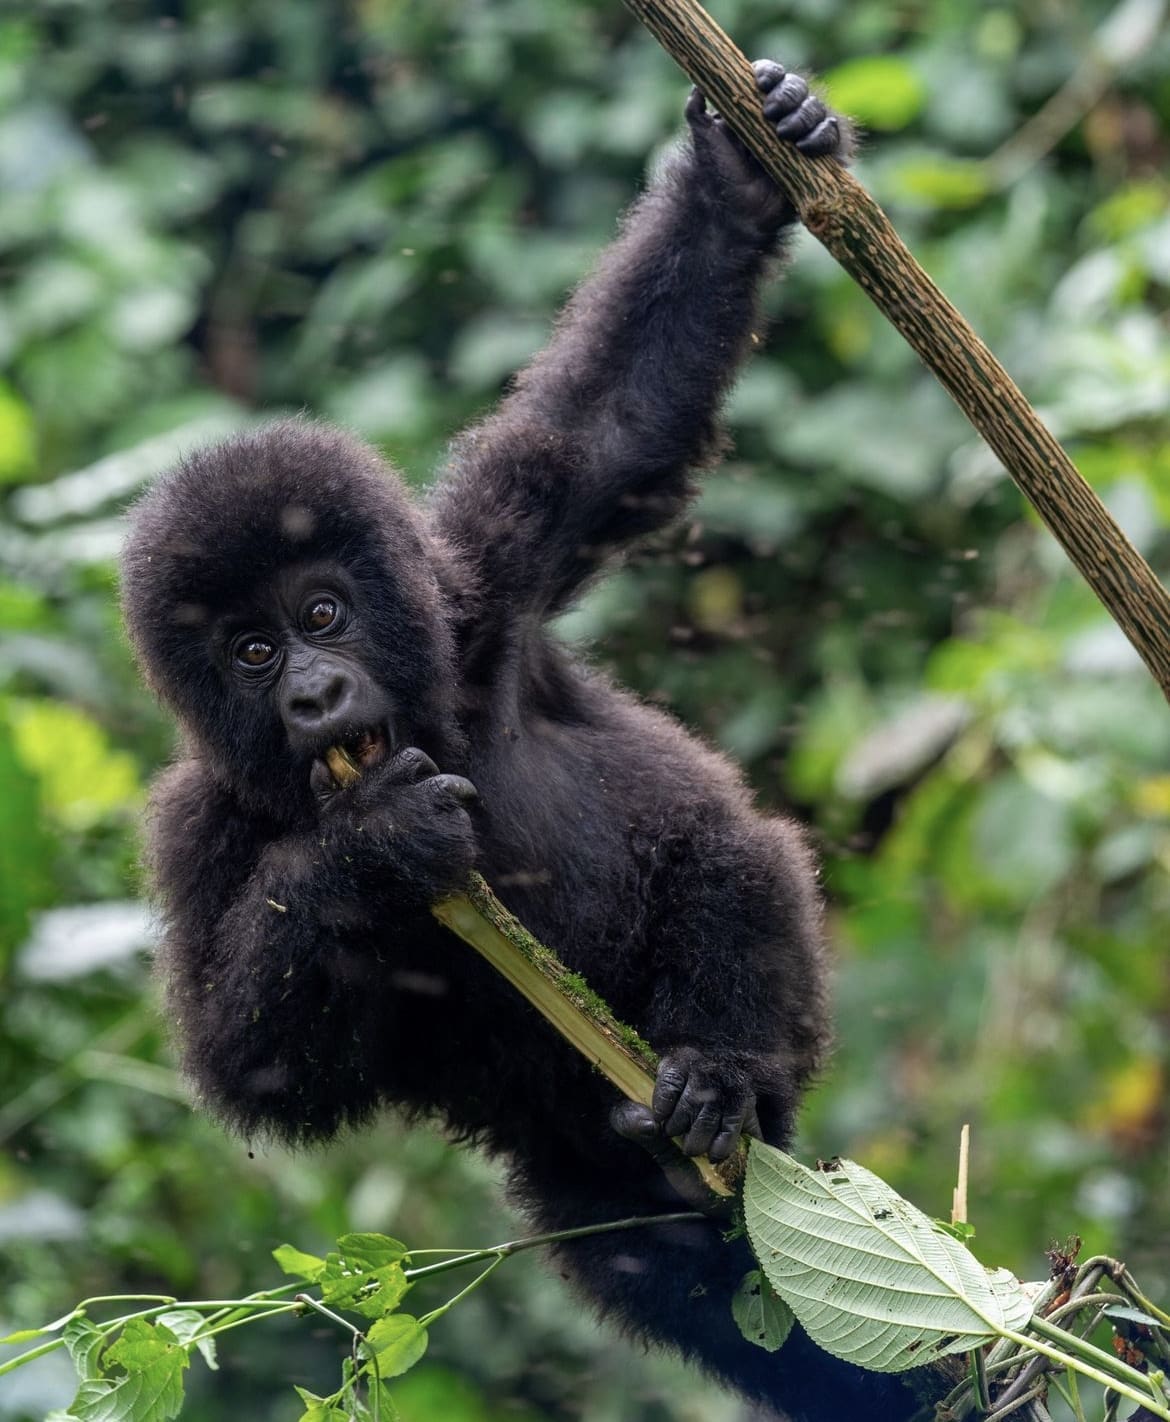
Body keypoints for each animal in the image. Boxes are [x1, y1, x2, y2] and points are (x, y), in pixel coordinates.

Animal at [121, 61, 926, 1422]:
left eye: (320, 615)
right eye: (248, 654)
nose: (314, 698)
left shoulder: (476, 576)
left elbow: (611, 433)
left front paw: (739, 180)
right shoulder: (199, 824)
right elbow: (246, 1065)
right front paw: (372, 847)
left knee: (730, 855)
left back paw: (729, 1077)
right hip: (597, 1185)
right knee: (685, 1269)